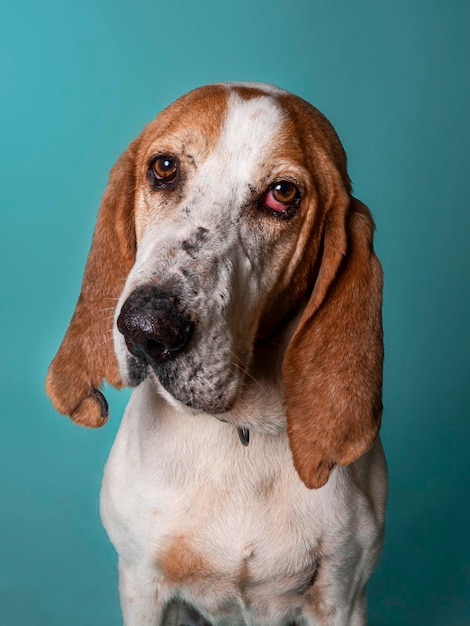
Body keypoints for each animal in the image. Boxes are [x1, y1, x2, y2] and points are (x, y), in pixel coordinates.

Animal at [46, 84, 388, 624]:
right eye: (164, 167)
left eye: (283, 194)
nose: (146, 328)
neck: (238, 433)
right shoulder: (142, 585)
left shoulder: (342, 599)